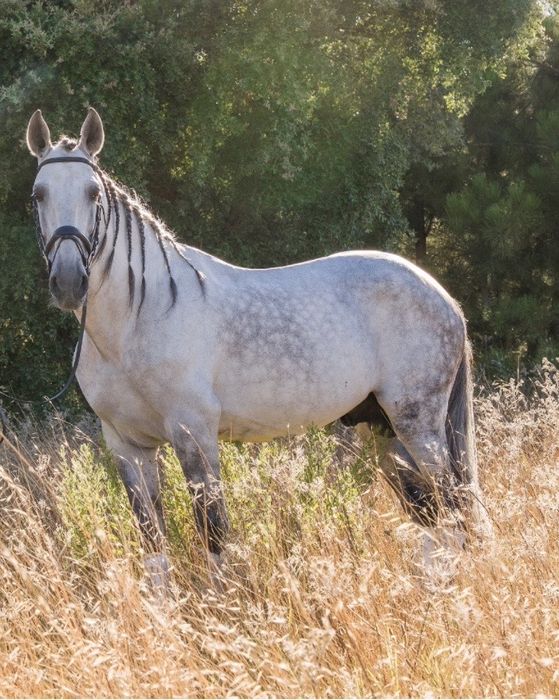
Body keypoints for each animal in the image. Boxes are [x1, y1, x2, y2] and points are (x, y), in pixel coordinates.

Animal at [26, 108, 488, 584]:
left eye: (93, 192)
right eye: (38, 195)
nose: (68, 282)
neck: (138, 319)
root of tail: (444, 298)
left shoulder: (194, 436)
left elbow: (215, 539)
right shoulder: (127, 447)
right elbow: (155, 552)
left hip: (419, 425)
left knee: (454, 512)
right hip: (386, 432)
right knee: (435, 520)